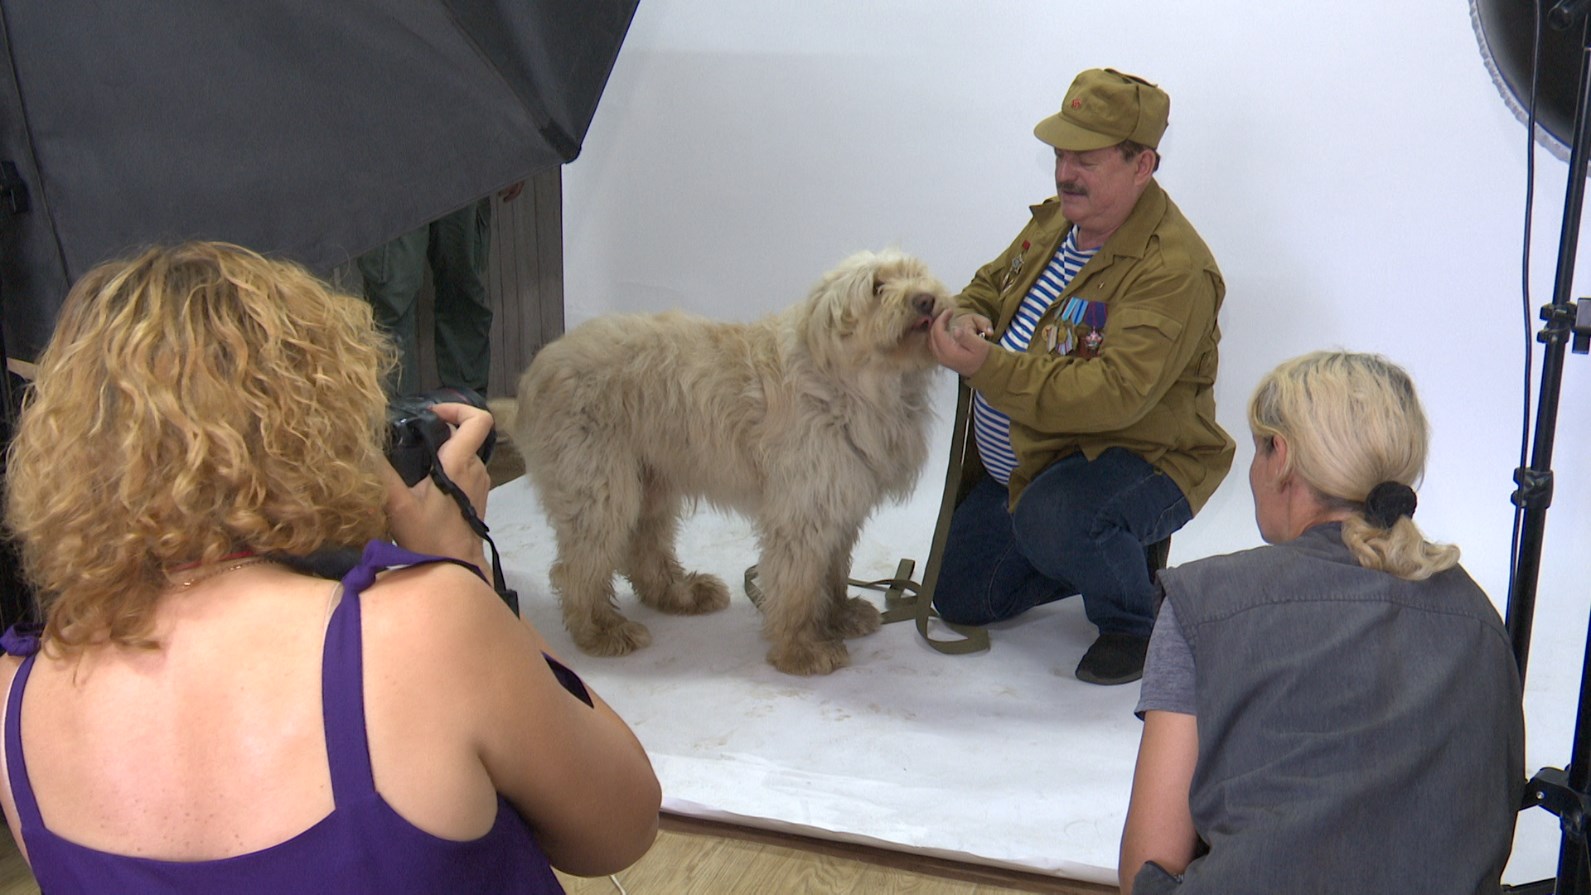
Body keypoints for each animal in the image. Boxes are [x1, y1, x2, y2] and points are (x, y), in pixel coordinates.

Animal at [499, 247, 941, 677]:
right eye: (877, 287)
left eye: (916, 274)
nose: (927, 299)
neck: (848, 382)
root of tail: (534, 376)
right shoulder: (802, 511)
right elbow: (798, 585)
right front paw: (801, 648)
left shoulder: (839, 504)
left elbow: (831, 573)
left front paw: (840, 614)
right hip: (599, 487)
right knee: (578, 567)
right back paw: (601, 629)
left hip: (650, 480)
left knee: (644, 549)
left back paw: (680, 594)